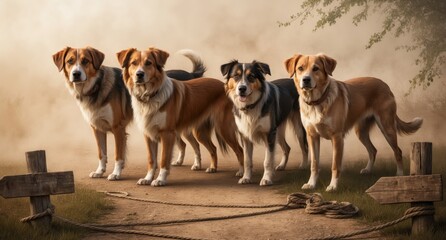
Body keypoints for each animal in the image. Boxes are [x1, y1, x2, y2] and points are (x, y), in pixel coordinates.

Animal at [52, 46, 207, 180]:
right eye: (70, 61)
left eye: (85, 61)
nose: (76, 74)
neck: (96, 86)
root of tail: (191, 74)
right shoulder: (97, 128)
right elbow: (101, 153)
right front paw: (99, 172)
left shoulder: (118, 128)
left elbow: (118, 155)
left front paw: (115, 174)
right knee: (184, 144)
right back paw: (179, 161)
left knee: (195, 144)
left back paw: (197, 165)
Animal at [116, 46, 244, 186]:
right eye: (133, 63)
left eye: (149, 63)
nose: (139, 74)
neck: (150, 95)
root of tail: (225, 86)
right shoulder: (148, 134)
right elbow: (151, 160)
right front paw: (148, 178)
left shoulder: (167, 134)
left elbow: (163, 159)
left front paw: (160, 179)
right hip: (198, 132)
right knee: (213, 148)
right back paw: (212, 168)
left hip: (223, 128)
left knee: (239, 150)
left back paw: (242, 173)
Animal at [284, 53, 424, 191]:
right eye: (300, 68)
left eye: (316, 68)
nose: (306, 80)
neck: (317, 102)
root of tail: (384, 84)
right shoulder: (312, 136)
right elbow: (314, 164)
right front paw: (311, 184)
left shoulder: (337, 137)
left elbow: (335, 165)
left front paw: (333, 186)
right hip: (360, 132)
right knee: (373, 150)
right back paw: (368, 170)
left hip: (386, 127)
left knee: (398, 151)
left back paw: (399, 174)